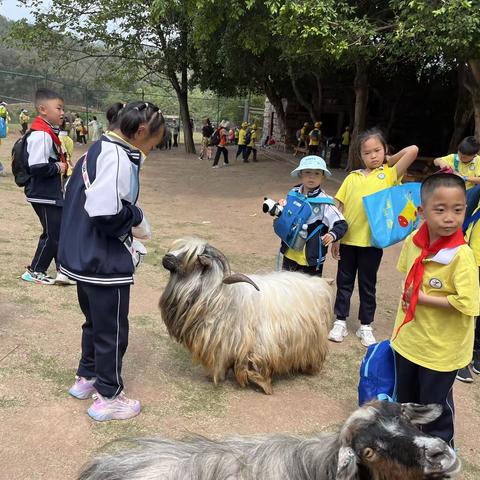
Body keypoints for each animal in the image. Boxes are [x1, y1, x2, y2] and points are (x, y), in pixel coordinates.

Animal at [159, 237, 332, 394]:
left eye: (192, 258)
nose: (166, 257)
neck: (220, 297)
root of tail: (320, 283)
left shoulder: (257, 343)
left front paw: (264, 386)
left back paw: (311, 369)